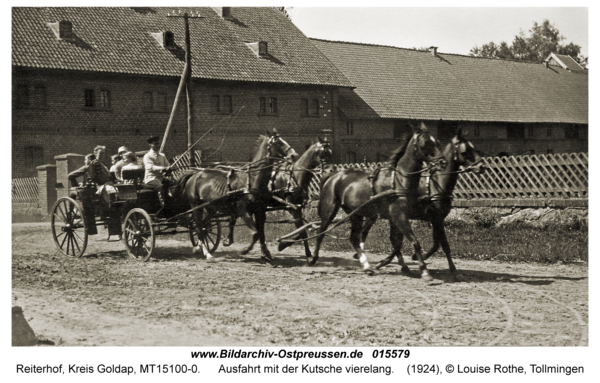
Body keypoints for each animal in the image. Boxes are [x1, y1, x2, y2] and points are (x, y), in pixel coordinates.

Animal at [171, 130, 296, 262]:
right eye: (277, 142)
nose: (294, 155)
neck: (252, 181)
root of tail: (194, 174)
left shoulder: (260, 211)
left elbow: (261, 233)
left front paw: (266, 253)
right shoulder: (243, 211)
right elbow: (256, 233)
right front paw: (245, 250)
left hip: (211, 208)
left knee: (204, 226)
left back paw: (199, 247)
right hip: (196, 206)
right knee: (199, 227)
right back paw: (207, 254)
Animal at [314, 127, 446, 280]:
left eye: (437, 142)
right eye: (425, 143)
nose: (443, 162)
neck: (398, 180)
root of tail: (333, 176)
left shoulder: (396, 217)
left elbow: (397, 241)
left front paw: (401, 265)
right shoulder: (398, 215)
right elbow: (414, 242)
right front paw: (424, 271)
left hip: (355, 213)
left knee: (354, 238)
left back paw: (366, 266)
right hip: (329, 210)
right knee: (321, 232)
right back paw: (313, 258)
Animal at [376, 130, 488, 280]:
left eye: (474, 148)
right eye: (465, 151)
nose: (481, 166)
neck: (437, 184)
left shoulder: (436, 219)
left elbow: (437, 243)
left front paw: (419, 257)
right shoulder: (437, 218)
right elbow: (444, 244)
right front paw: (453, 270)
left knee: (395, 240)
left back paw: (395, 263)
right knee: (395, 240)